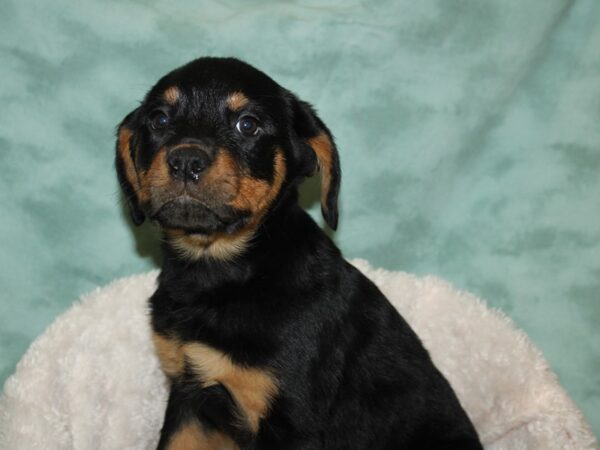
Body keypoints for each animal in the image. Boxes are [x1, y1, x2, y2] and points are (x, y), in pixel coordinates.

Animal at [116, 58, 482, 448]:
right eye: (159, 119)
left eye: (248, 124)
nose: (186, 160)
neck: (222, 272)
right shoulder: (188, 395)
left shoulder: (292, 420)